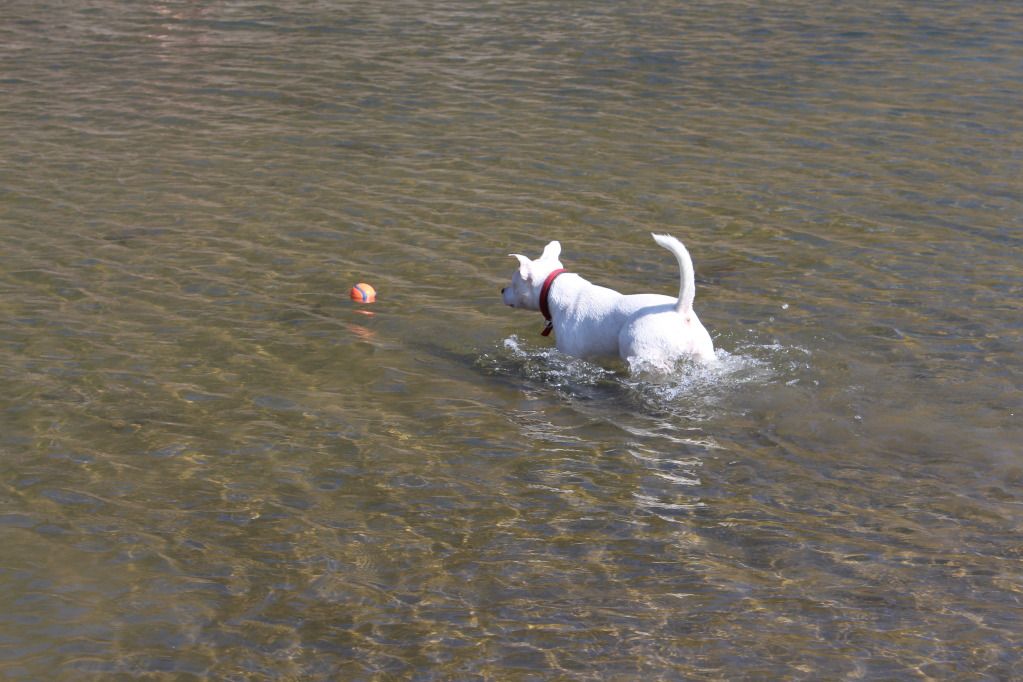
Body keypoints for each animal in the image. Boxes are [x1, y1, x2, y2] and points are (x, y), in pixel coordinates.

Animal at [501, 235, 712, 370]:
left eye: (513, 283)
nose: (502, 291)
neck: (554, 287)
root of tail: (680, 309)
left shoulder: (569, 353)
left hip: (643, 352)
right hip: (705, 357)